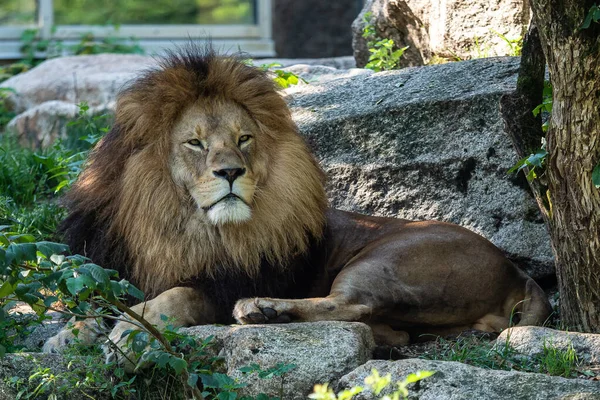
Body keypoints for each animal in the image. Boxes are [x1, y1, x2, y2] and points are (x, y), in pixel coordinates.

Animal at [43, 45, 552, 360]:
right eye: (195, 143)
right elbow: (102, 303)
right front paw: (69, 334)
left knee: (352, 307)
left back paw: (261, 310)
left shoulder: (222, 284)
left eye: (244, 139)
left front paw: (129, 329)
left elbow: (176, 296)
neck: (176, 223)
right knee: (391, 327)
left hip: (386, 259)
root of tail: (518, 271)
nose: (231, 172)